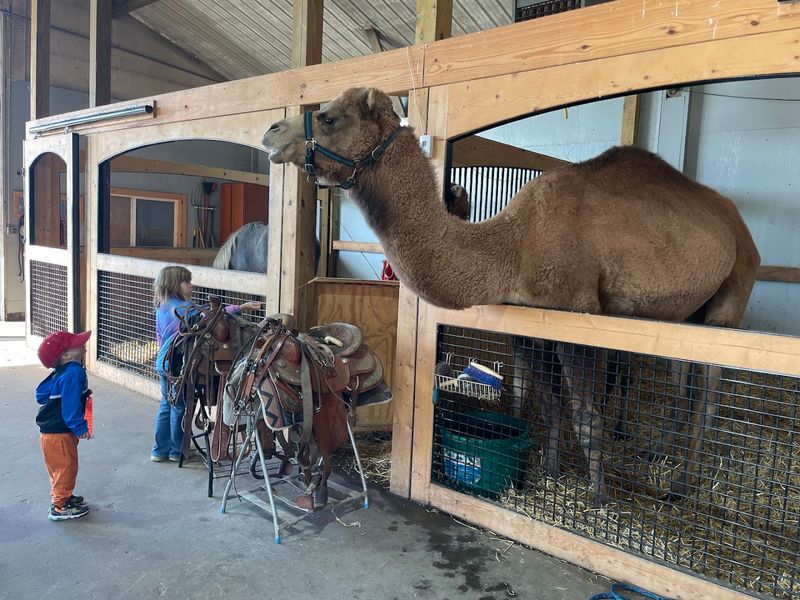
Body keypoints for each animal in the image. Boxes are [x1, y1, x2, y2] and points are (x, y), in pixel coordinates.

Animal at [262, 87, 761, 503]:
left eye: (329, 118)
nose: (272, 131)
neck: (513, 247)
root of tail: (736, 222)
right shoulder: (531, 324)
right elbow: (550, 406)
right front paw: (549, 474)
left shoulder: (580, 317)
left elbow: (586, 416)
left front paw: (599, 498)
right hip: (682, 314)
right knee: (683, 379)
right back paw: (660, 452)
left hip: (732, 294)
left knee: (709, 393)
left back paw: (682, 484)